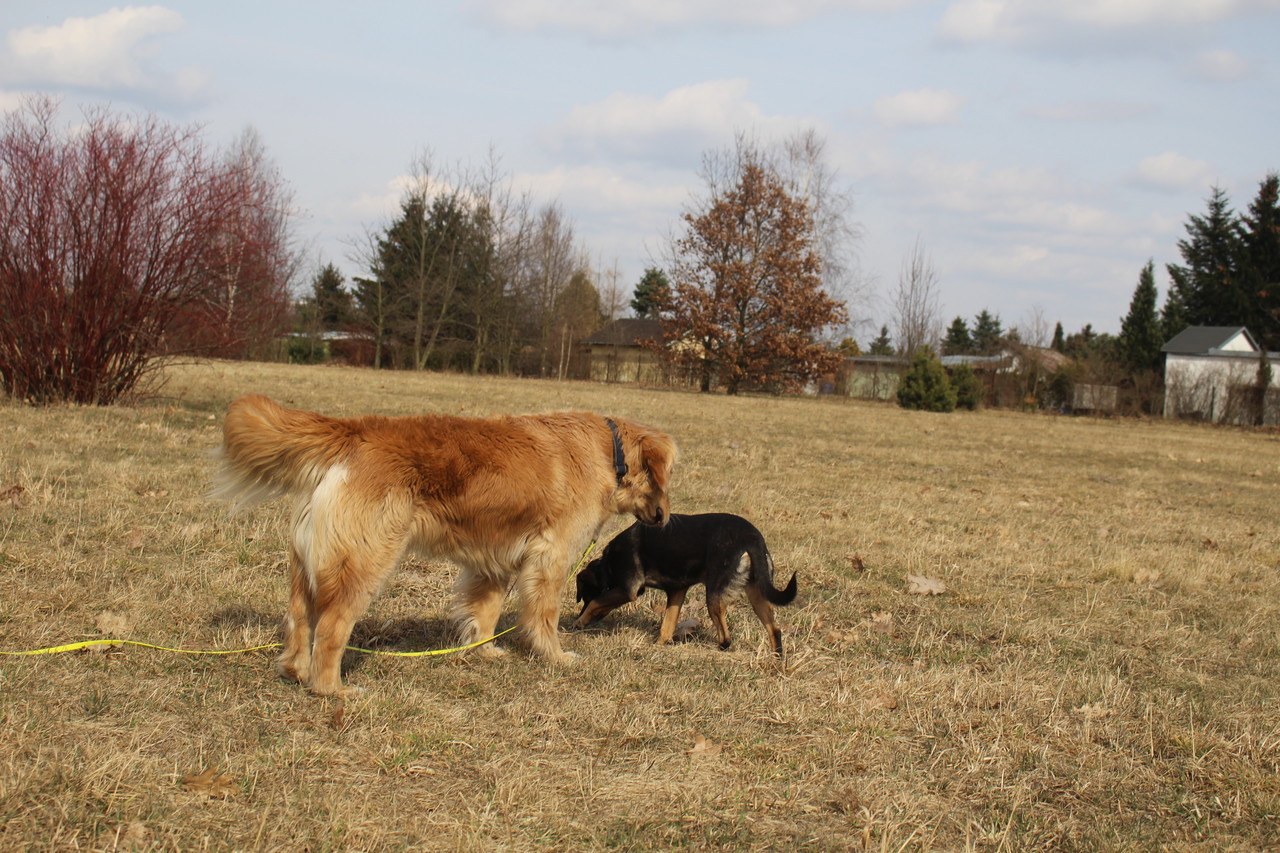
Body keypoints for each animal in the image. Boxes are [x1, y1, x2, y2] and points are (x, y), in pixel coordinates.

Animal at [213, 394, 677, 696]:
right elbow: (543, 616)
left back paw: (295, 671)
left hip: (307, 566)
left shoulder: (493, 561)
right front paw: (555, 657)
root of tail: (357, 431)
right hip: (363, 564)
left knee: (299, 620)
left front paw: (485, 652)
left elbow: (484, 612)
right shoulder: (552, 556)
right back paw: (333, 690)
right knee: (330, 629)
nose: (666, 518)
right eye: (668, 475)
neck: (609, 452)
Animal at [572, 513, 797, 657]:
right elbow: (667, 625)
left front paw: (578, 622)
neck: (607, 563)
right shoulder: (677, 591)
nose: (578, 616)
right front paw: (659, 645)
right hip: (757, 593)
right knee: (775, 629)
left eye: (584, 596)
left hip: (714, 596)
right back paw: (776, 659)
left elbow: (597, 603)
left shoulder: (628, 590)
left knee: (726, 638)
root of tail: (752, 538)